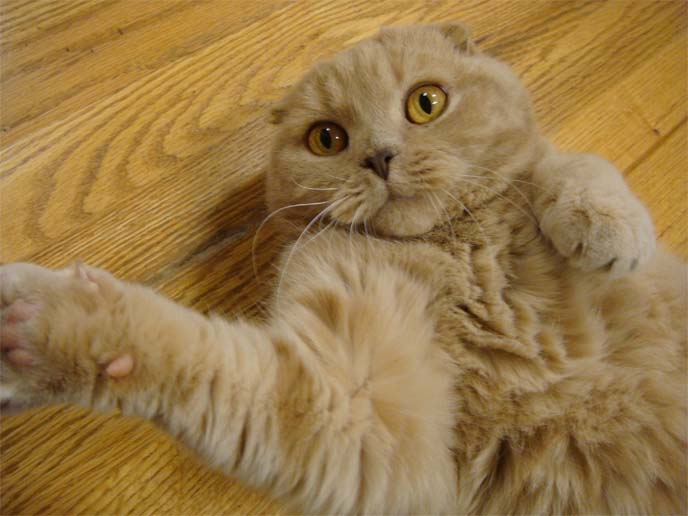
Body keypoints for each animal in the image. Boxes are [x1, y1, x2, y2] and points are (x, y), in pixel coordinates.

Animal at [1, 21, 688, 516]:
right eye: (328, 139)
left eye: (426, 103)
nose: (380, 157)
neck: (453, 246)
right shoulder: (363, 408)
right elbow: (201, 360)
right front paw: (51, 328)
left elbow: (567, 163)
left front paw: (606, 225)